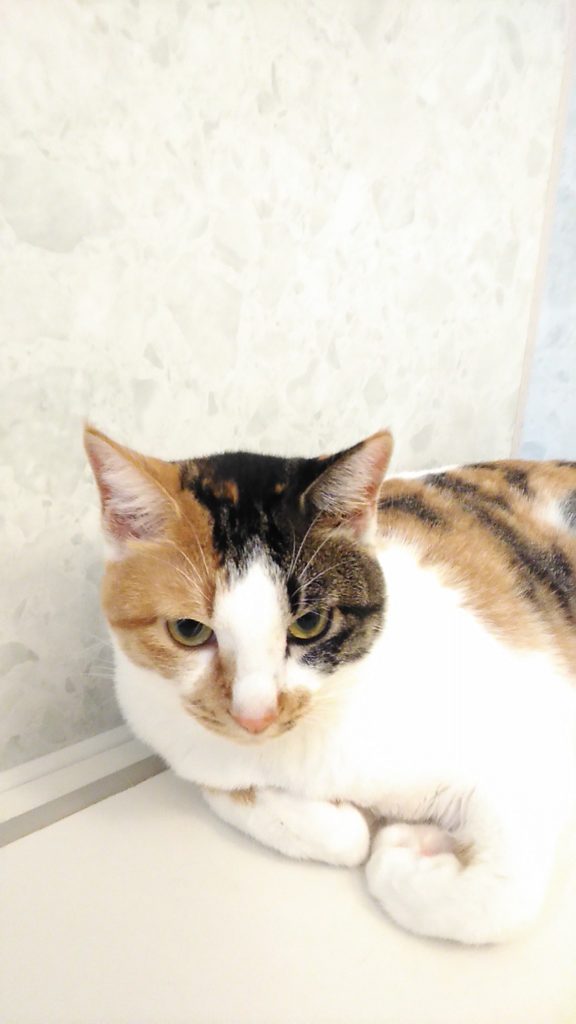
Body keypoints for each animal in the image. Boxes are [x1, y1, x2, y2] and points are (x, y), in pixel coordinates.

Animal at [84, 425, 576, 944]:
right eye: (188, 629)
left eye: (310, 624)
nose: (256, 715)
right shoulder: (184, 746)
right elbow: (334, 833)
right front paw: (373, 827)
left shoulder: (534, 752)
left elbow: (499, 898)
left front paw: (402, 850)